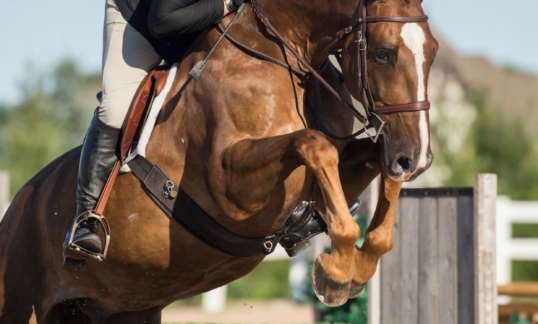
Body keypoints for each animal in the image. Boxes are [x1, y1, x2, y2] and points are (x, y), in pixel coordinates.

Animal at [0, 0, 436, 322]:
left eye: (432, 51)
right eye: (382, 53)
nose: (417, 158)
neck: (275, 55)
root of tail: (14, 210)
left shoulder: (339, 170)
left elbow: (375, 166)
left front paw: (359, 263)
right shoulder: (231, 187)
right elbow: (315, 145)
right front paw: (338, 272)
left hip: (124, 308)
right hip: (21, 303)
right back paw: (86, 233)